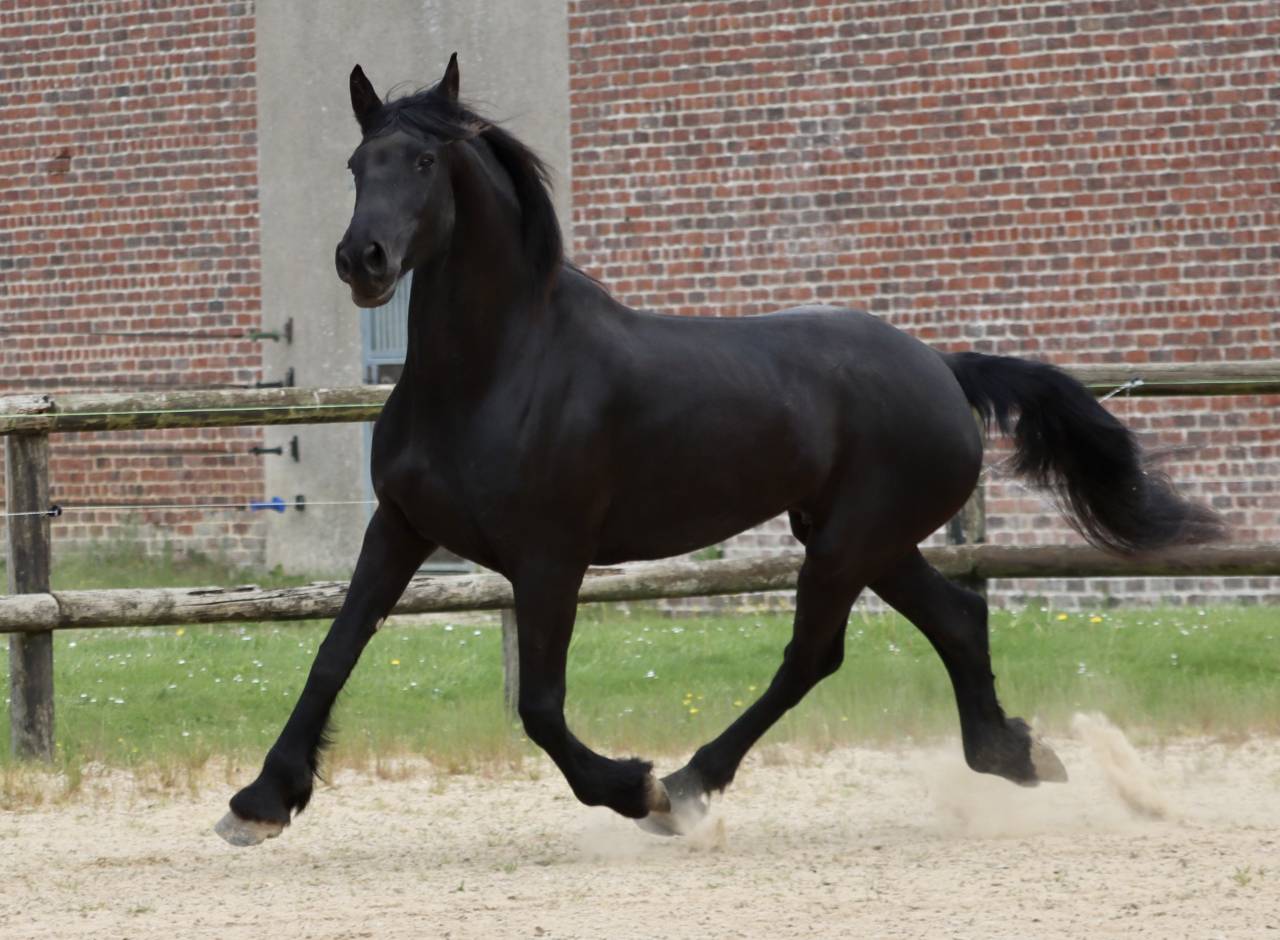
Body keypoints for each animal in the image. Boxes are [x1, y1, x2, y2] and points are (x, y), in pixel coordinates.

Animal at [215, 54, 1222, 846]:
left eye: (423, 160)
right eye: (357, 163)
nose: (364, 261)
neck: (497, 370)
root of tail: (941, 365)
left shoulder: (550, 557)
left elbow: (539, 706)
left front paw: (632, 787)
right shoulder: (400, 526)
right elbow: (335, 651)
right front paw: (260, 802)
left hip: (848, 543)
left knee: (813, 657)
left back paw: (687, 787)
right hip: (867, 539)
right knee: (957, 620)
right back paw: (1016, 754)